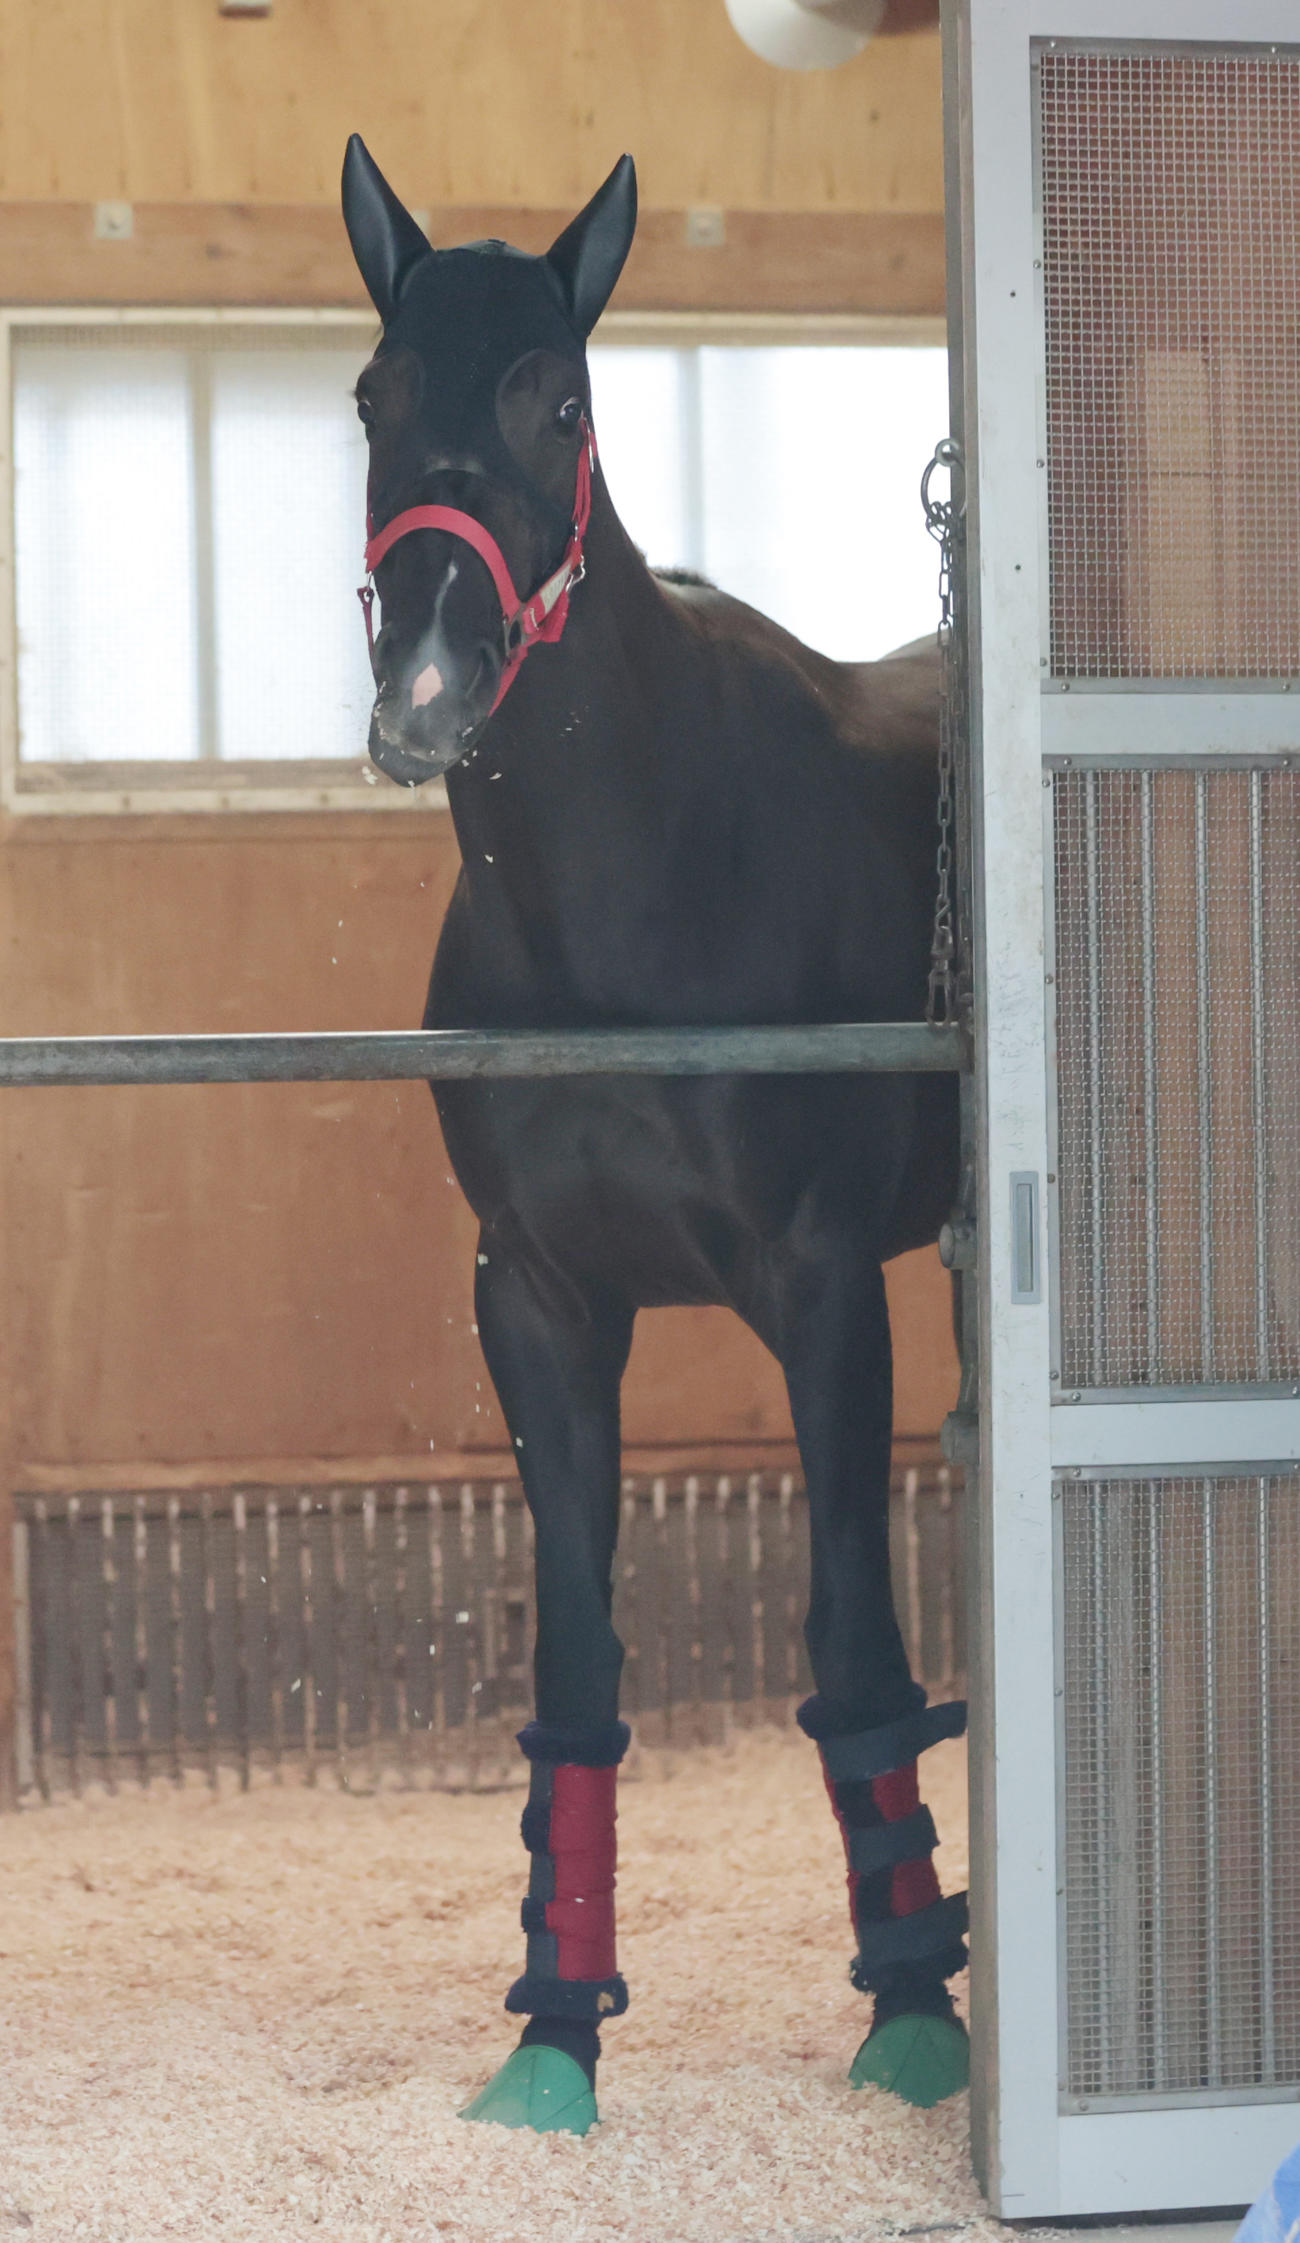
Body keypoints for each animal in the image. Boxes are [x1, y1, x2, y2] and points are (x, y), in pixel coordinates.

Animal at [342, 136, 968, 2137]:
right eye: (375, 392)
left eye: (563, 401)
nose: (429, 694)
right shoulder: (543, 1301)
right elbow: (577, 1661)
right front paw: (555, 2028)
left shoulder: (826, 1291)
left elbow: (853, 1642)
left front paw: (915, 2008)